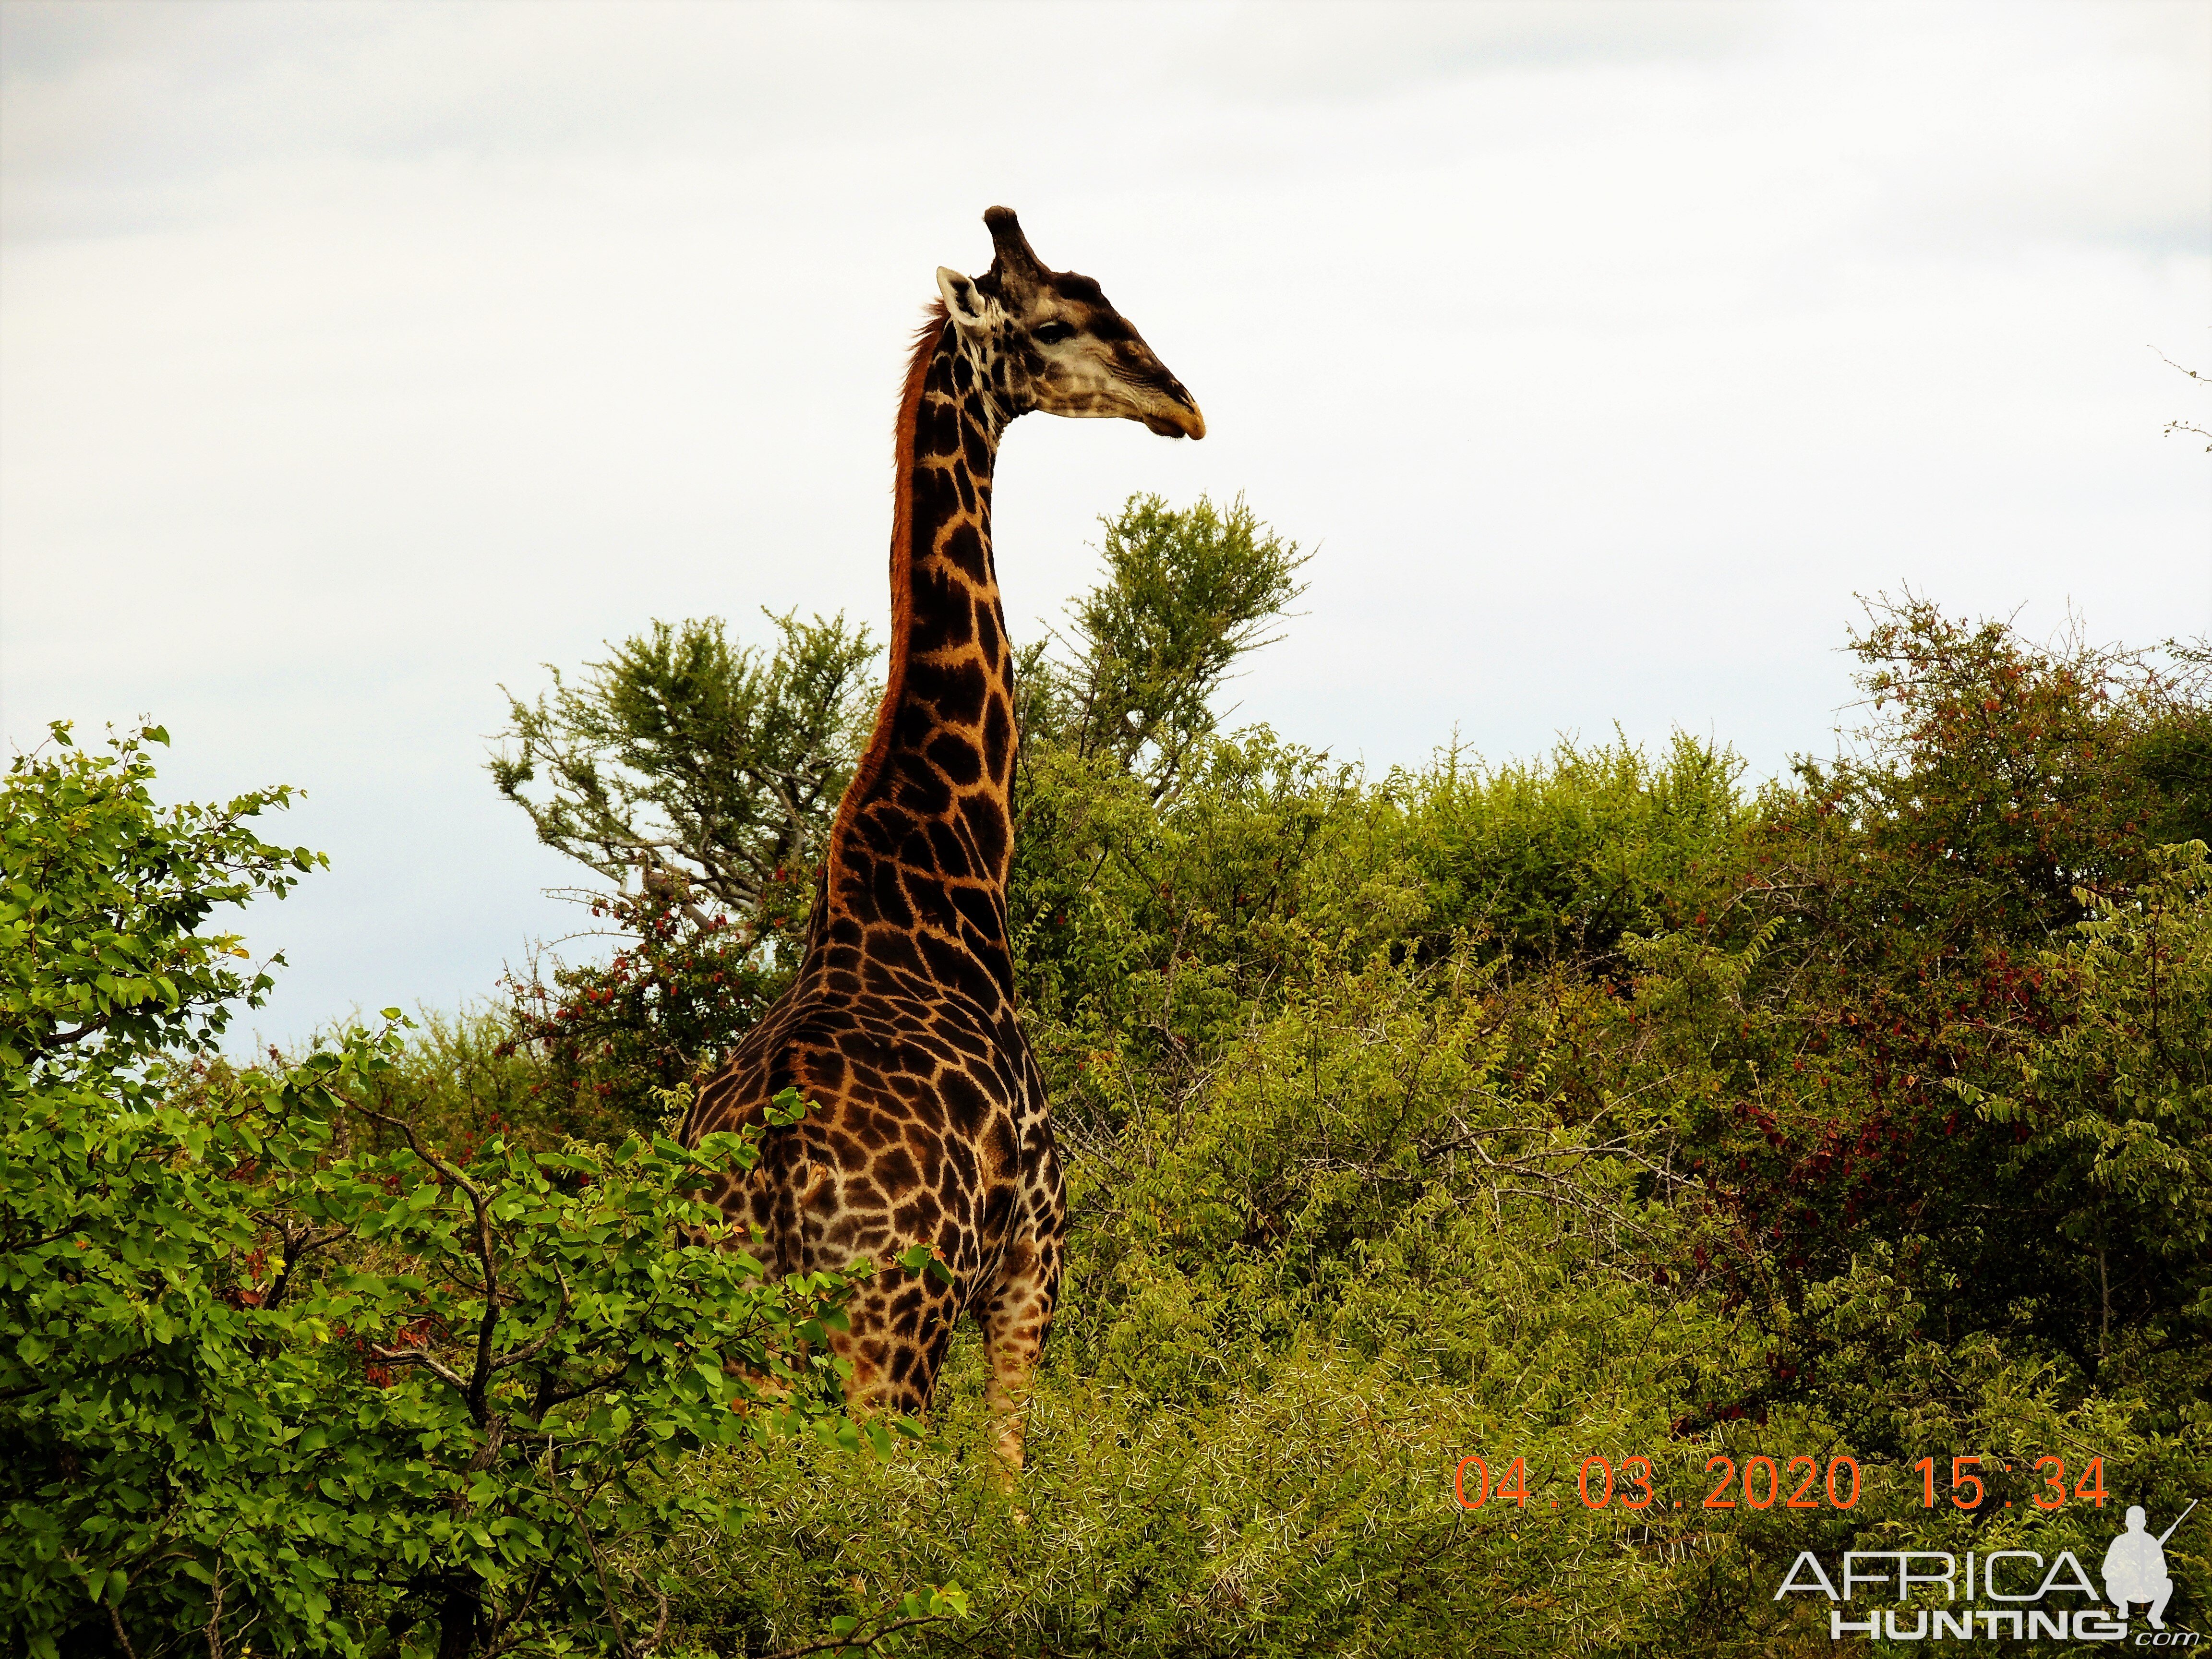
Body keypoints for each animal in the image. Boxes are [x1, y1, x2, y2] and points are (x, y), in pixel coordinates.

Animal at [685, 204, 1212, 1468]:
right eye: (1061, 320)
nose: (1183, 404)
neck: (946, 869)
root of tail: (770, 1171)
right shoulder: (1036, 1257)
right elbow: (1009, 1477)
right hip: (893, 1326)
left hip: (723, 1346)